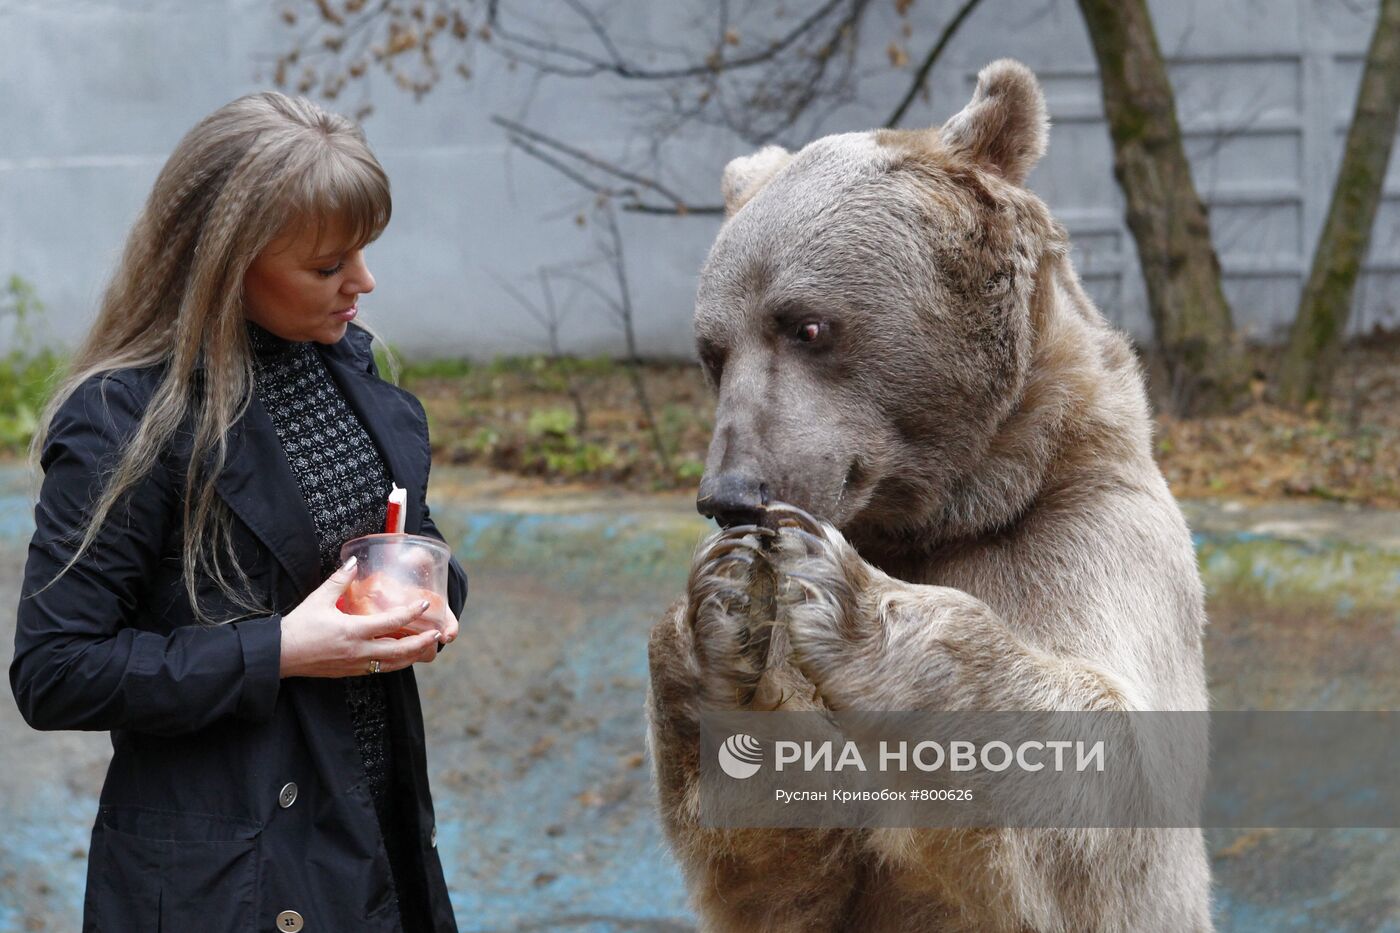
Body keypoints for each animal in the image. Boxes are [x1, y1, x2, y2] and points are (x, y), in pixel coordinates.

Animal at [646, 59, 1215, 930]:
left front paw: (848, 601)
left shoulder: (1088, 534)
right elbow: (783, 865)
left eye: (806, 325)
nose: (732, 495)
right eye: (713, 351)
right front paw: (717, 607)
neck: (950, 513)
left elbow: (1112, 796)